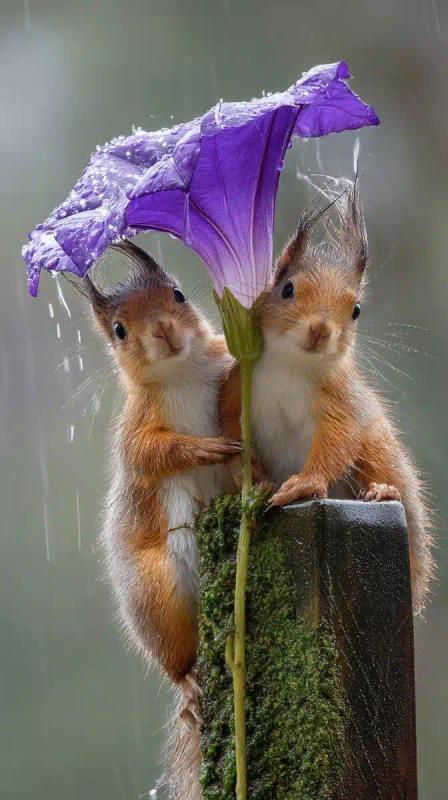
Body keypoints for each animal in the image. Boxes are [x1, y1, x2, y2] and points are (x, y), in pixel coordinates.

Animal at [79, 239, 237, 798]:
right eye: (120, 330)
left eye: (178, 294)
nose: (164, 331)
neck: (181, 372)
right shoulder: (136, 429)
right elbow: (154, 453)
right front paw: (203, 449)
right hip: (157, 594)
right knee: (175, 661)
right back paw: (187, 685)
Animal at [221, 183, 434, 613]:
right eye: (287, 289)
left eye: (355, 310)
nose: (320, 329)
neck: (292, 366)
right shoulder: (239, 383)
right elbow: (227, 423)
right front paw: (246, 474)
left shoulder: (341, 401)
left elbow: (336, 442)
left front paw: (304, 484)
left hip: (378, 447)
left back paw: (383, 490)